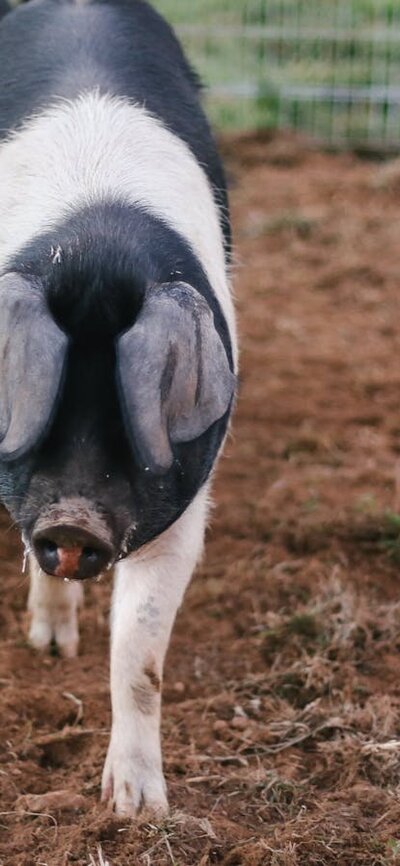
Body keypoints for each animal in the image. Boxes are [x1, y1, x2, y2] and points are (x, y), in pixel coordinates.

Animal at [0, 0, 238, 816]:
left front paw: (137, 810)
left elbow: (139, 651)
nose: (73, 522)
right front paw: (48, 653)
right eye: (45, 417)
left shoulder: (187, 501)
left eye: (129, 430)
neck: (95, 250)